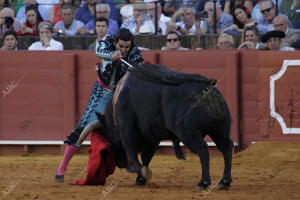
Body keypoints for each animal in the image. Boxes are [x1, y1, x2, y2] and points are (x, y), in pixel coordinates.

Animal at [90, 64, 233, 189]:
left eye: (108, 135)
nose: (120, 163)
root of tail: (207, 90)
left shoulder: (127, 129)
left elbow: (133, 154)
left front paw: (142, 175)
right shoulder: (153, 136)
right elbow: (146, 157)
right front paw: (140, 179)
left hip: (188, 133)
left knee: (202, 148)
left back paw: (204, 182)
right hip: (219, 129)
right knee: (226, 147)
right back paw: (224, 182)